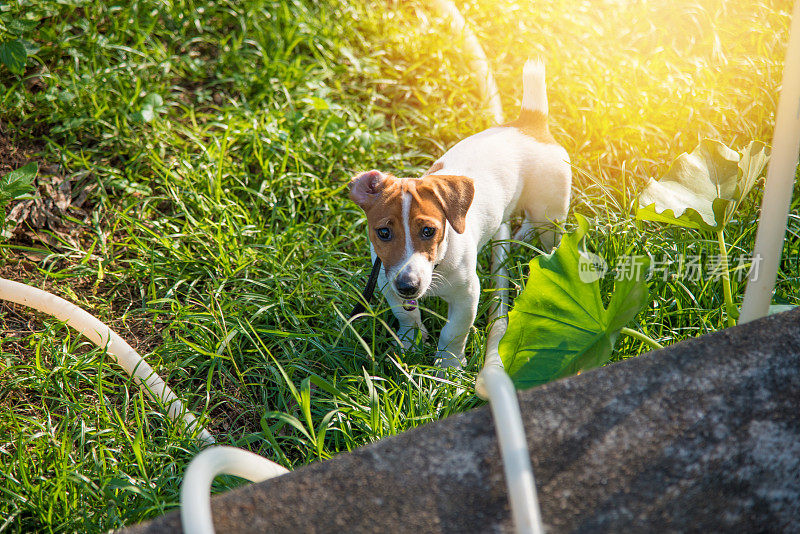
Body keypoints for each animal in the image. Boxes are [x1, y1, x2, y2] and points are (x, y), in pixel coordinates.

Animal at [348, 58, 568, 368]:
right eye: (384, 232)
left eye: (428, 231)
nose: (408, 286)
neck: (437, 266)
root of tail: (529, 123)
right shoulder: (387, 283)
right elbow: (407, 316)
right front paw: (410, 344)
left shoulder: (468, 294)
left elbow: (453, 331)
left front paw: (447, 366)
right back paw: (517, 239)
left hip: (550, 211)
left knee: (549, 237)